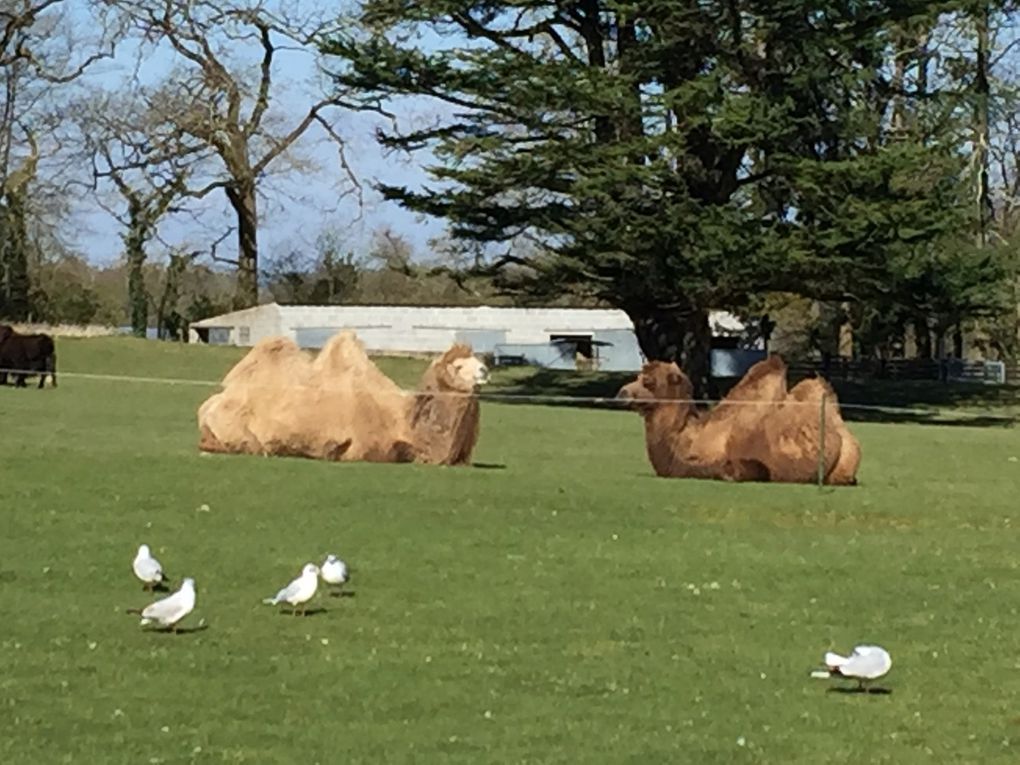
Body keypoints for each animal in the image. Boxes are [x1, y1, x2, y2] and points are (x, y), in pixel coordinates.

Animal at [197, 330, 489, 467]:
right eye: (458, 367)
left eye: (478, 359)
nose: (485, 371)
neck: (404, 420)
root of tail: (208, 405)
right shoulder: (366, 447)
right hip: (239, 433)